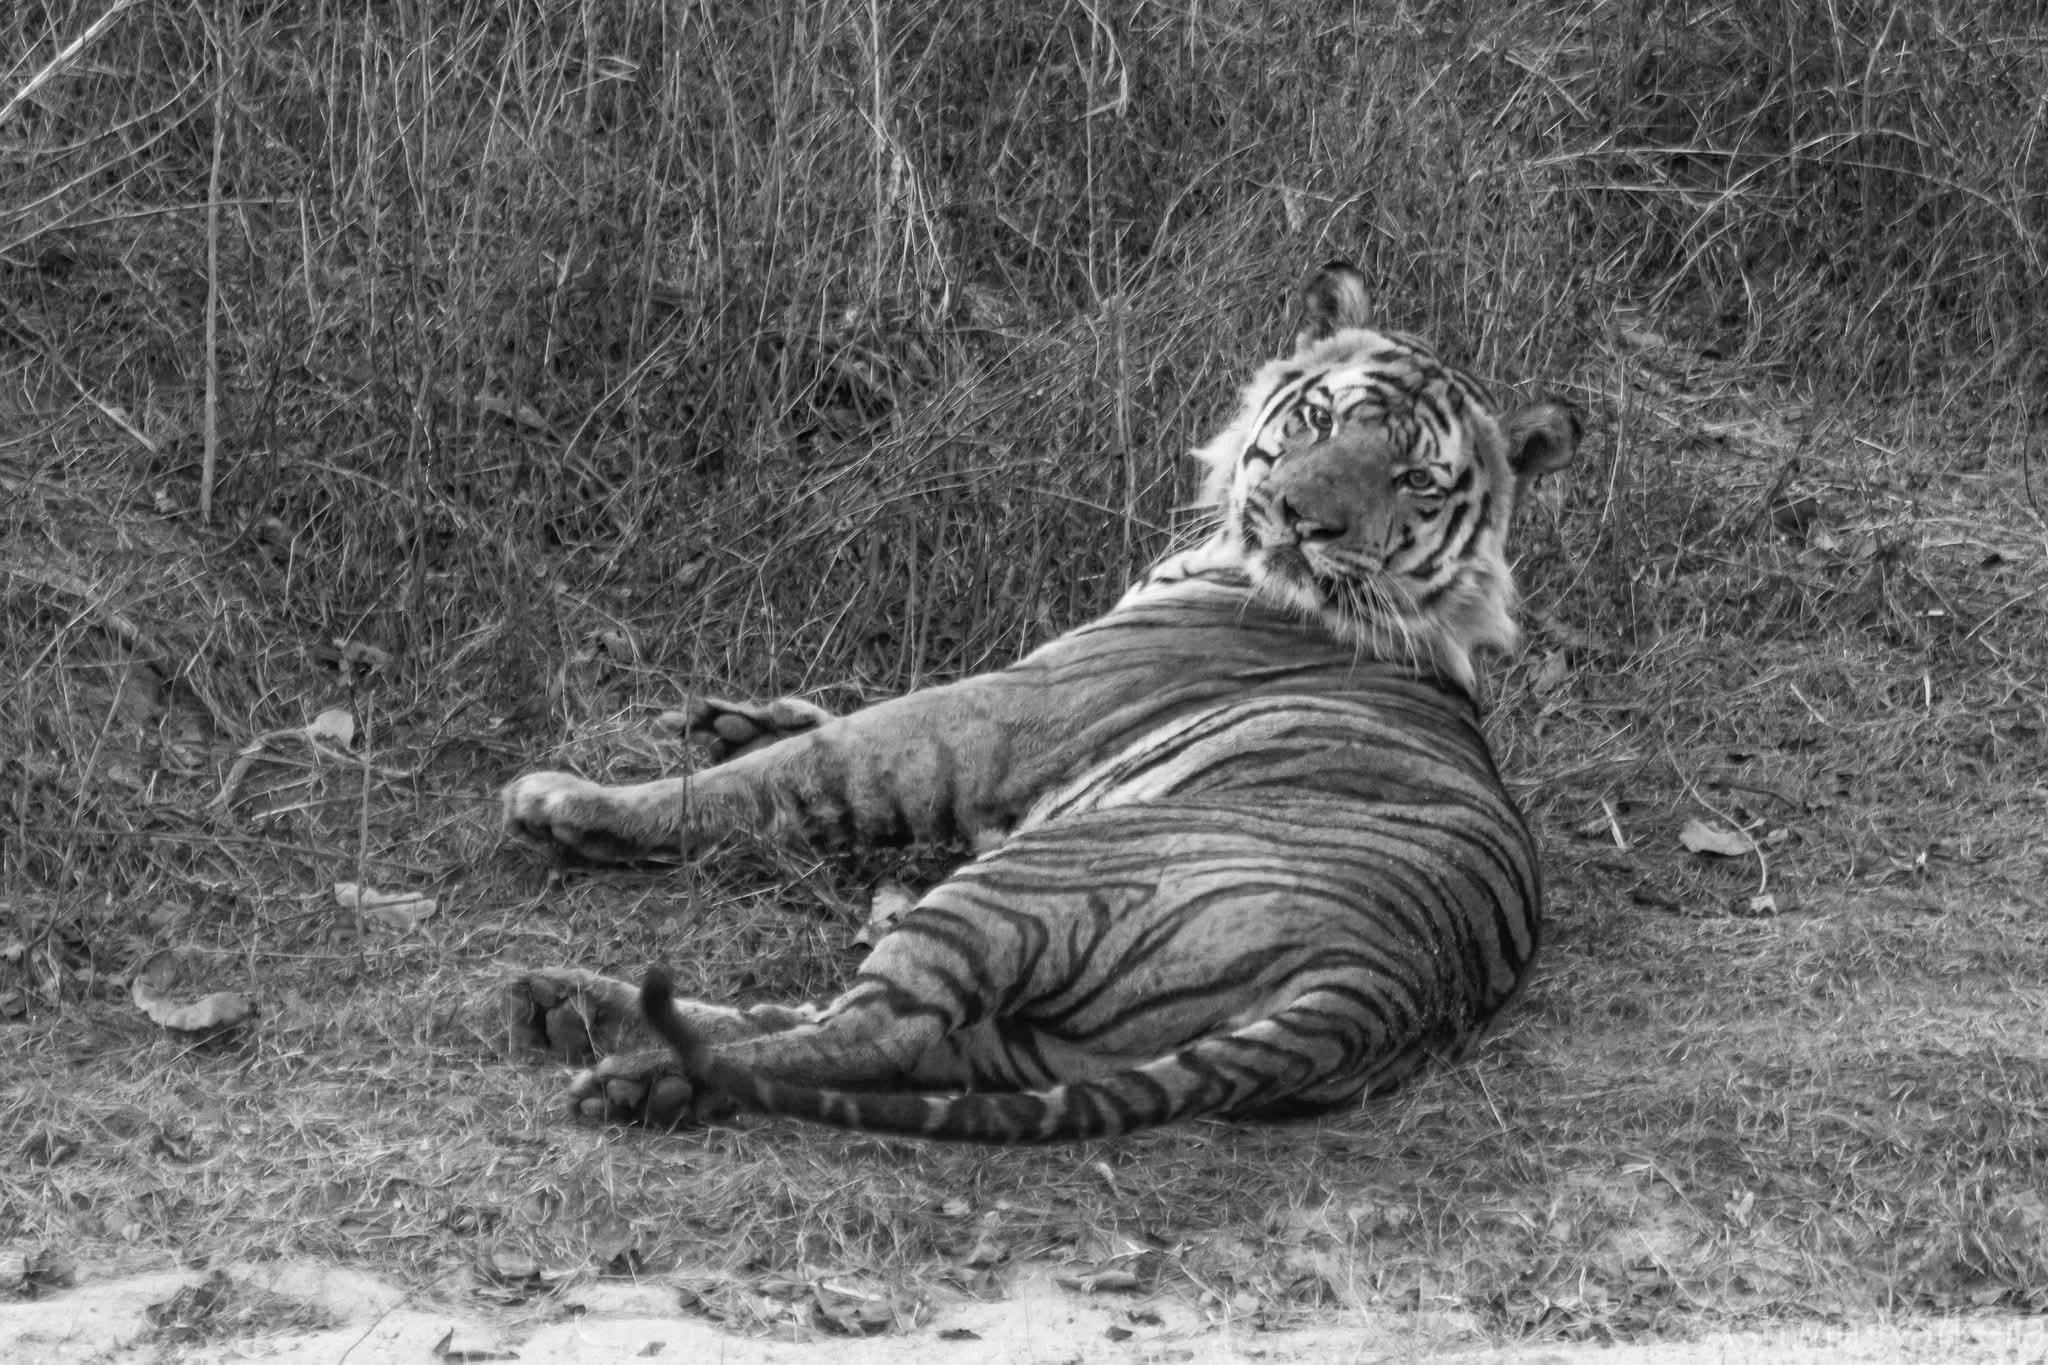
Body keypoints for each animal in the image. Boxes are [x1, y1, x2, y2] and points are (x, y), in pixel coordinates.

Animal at [500, 261, 1578, 1144]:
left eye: (1414, 478)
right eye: (1318, 421)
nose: (1303, 520)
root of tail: (1387, 985)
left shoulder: (997, 717)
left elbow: (809, 763)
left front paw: (570, 799)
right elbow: (804, 735)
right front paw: (734, 720)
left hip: (1037, 876)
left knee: (877, 1031)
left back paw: (626, 1067)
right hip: (1040, 1035)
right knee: (876, 1039)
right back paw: (572, 1008)